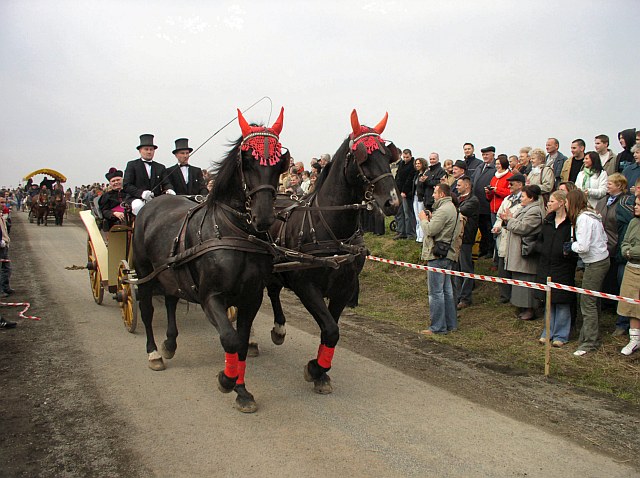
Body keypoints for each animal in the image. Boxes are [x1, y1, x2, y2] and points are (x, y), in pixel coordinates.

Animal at [134, 107, 288, 410]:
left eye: (279, 164)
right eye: (247, 160)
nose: (264, 217)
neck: (235, 232)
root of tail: (153, 202)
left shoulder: (251, 297)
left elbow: (242, 342)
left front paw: (242, 391)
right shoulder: (210, 296)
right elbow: (230, 339)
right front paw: (226, 380)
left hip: (172, 273)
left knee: (170, 300)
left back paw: (170, 343)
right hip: (145, 272)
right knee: (146, 310)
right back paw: (154, 352)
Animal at [266, 110, 398, 394]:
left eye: (387, 155)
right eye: (364, 156)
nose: (393, 201)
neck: (329, 229)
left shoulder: (344, 288)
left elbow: (333, 330)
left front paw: (321, 371)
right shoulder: (306, 286)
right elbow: (330, 329)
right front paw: (315, 368)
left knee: (272, 290)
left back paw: (279, 328)